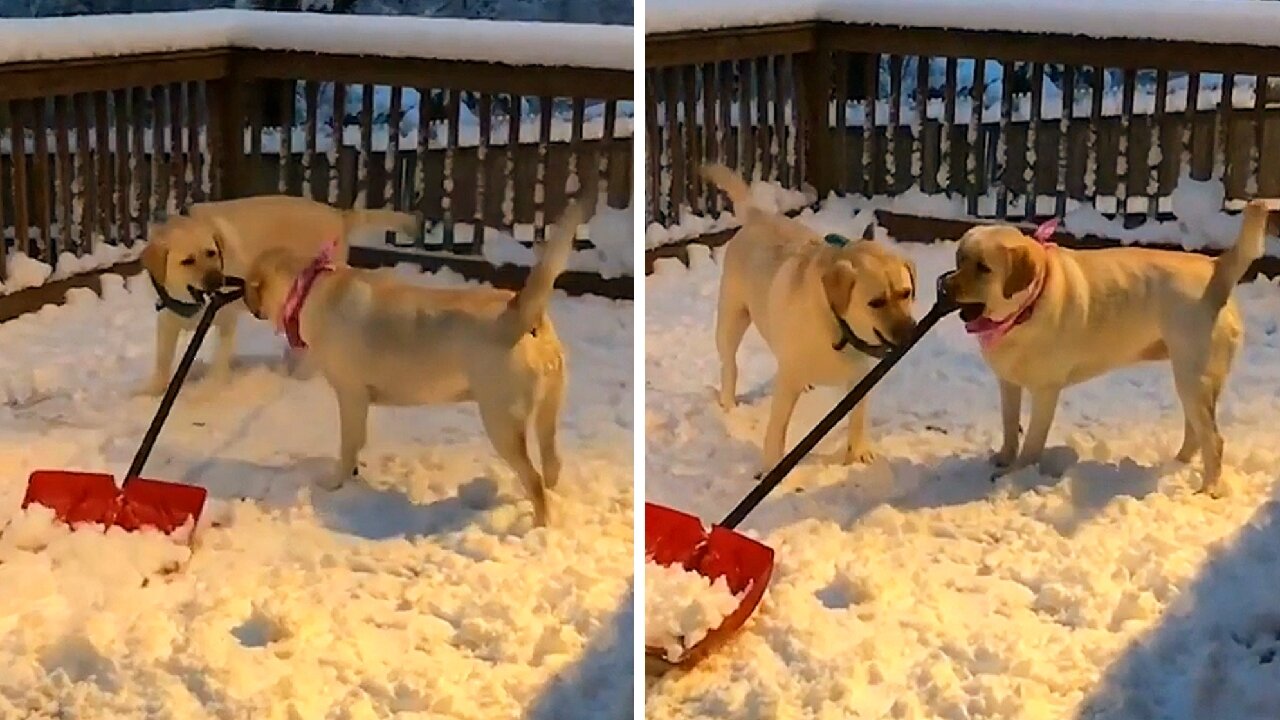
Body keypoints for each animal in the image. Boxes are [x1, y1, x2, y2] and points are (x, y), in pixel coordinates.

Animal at [701, 162, 921, 466]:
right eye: (876, 302)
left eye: (906, 293)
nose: (912, 332)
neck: (838, 328)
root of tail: (759, 216)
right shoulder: (786, 384)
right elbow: (777, 430)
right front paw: (772, 467)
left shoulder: (860, 378)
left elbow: (858, 416)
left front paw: (858, 452)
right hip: (732, 319)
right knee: (730, 364)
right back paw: (729, 403)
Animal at [936, 198, 1274, 497]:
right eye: (959, 259)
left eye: (983, 268)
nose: (943, 285)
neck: (1026, 307)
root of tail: (1217, 267)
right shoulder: (1008, 382)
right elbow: (1009, 425)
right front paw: (1005, 459)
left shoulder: (1045, 391)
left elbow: (1032, 440)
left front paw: (1016, 474)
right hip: (1190, 381)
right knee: (1195, 433)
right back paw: (1176, 465)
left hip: (1195, 379)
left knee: (1214, 441)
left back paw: (1208, 490)